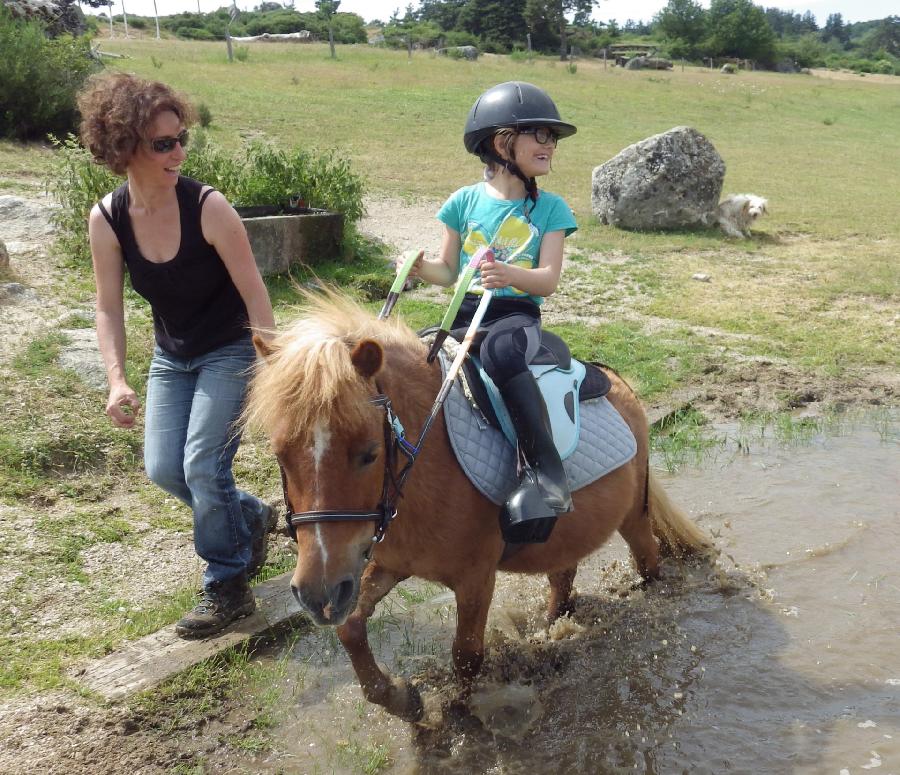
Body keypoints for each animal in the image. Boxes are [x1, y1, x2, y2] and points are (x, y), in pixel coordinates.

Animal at [244, 292, 712, 720]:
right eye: (280, 454)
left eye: (369, 453)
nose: (317, 595)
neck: (427, 460)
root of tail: (619, 382)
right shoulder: (384, 563)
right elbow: (352, 629)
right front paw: (402, 699)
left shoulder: (475, 576)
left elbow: (466, 654)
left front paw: (457, 716)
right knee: (563, 579)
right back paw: (549, 630)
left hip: (634, 517)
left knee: (649, 563)